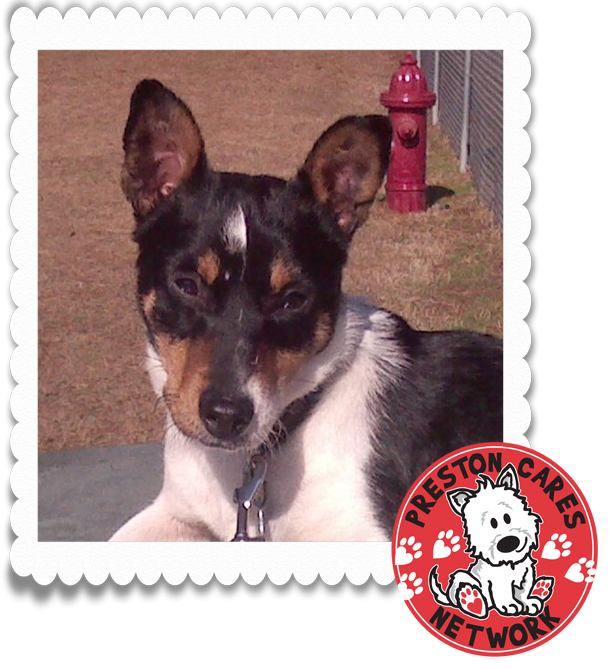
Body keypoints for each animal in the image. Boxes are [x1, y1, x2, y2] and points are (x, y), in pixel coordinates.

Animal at [429, 464, 554, 618]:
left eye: (507, 517)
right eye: (491, 523)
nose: (509, 542)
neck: (509, 562)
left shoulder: (526, 573)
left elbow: (523, 591)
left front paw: (528, 603)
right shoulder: (498, 581)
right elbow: (504, 593)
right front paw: (510, 605)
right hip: (462, 577)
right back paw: (471, 599)